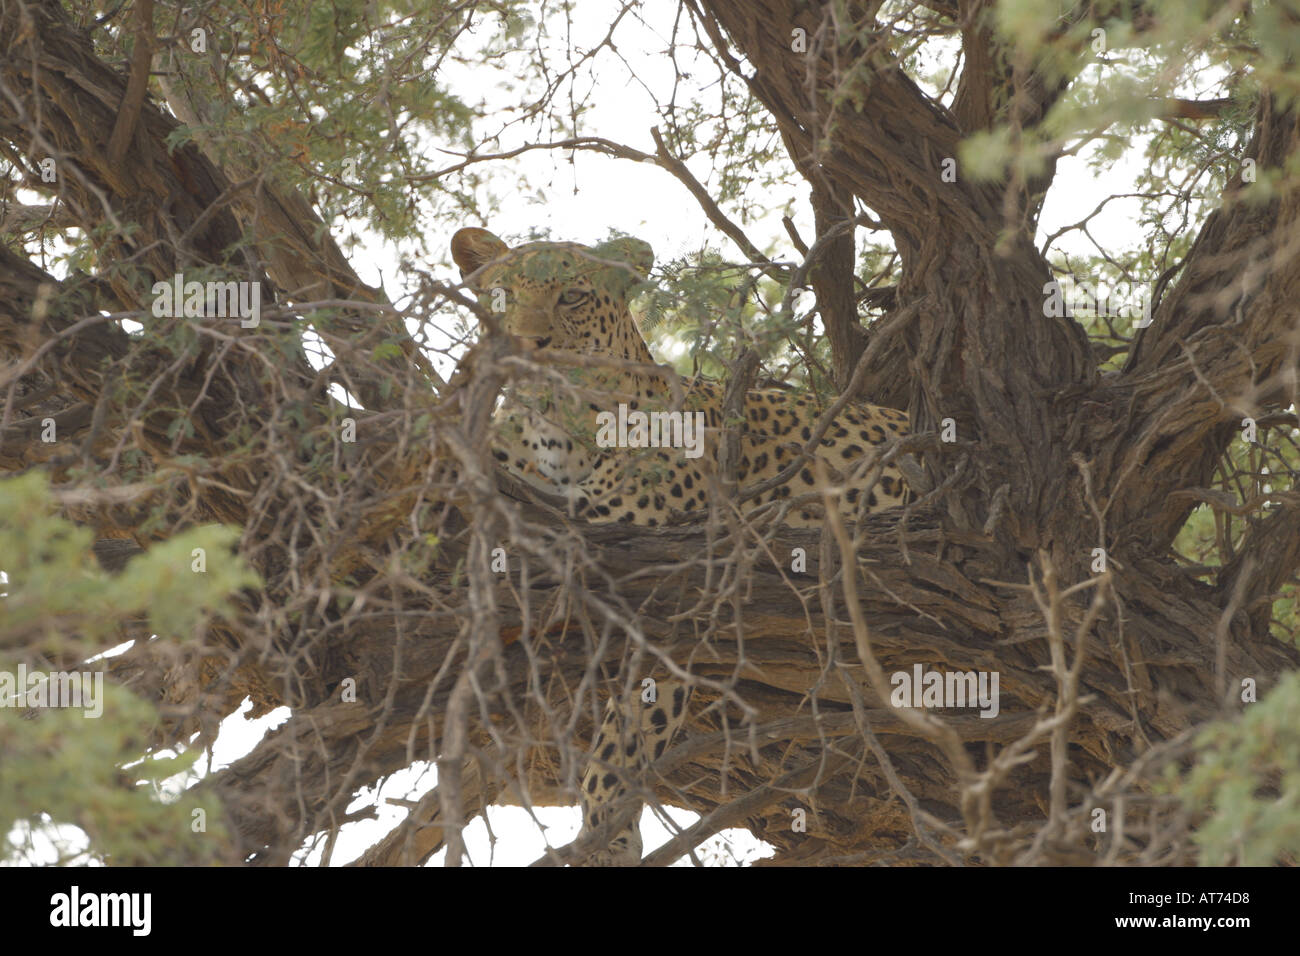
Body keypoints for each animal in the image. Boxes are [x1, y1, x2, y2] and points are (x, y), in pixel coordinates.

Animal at [450, 225, 910, 865]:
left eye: (572, 296)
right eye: (501, 296)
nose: (526, 343)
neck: (555, 431)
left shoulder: (667, 600)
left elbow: (620, 747)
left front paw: (606, 838)